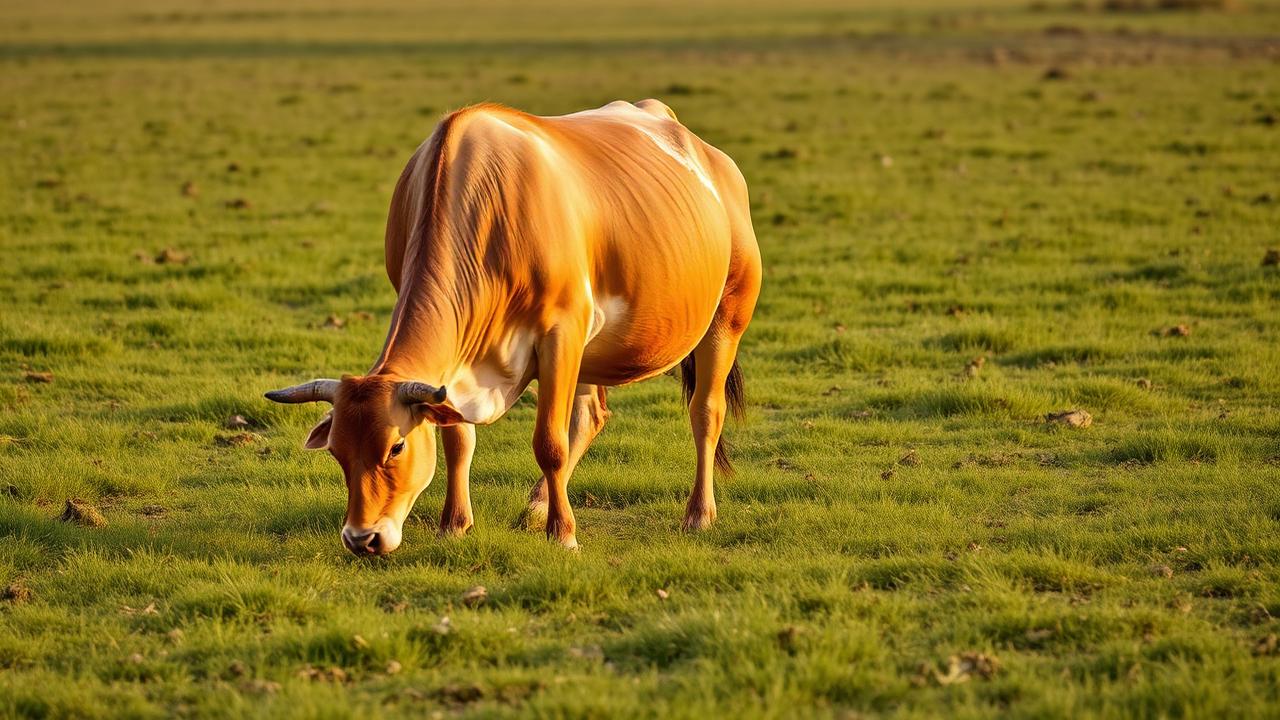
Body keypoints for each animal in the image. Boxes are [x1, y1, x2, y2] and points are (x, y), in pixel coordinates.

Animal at [265, 99, 761, 555]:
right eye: (337, 451)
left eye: (395, 448)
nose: (361, 538)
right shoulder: (458, 369)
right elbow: (458, 438)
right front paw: (454, 523)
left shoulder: (561, 332)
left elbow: (549, 443)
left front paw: (563, 534)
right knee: (591, 415)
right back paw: (538, 504)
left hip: (727, 315)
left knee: (705, 410)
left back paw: (698, 513)